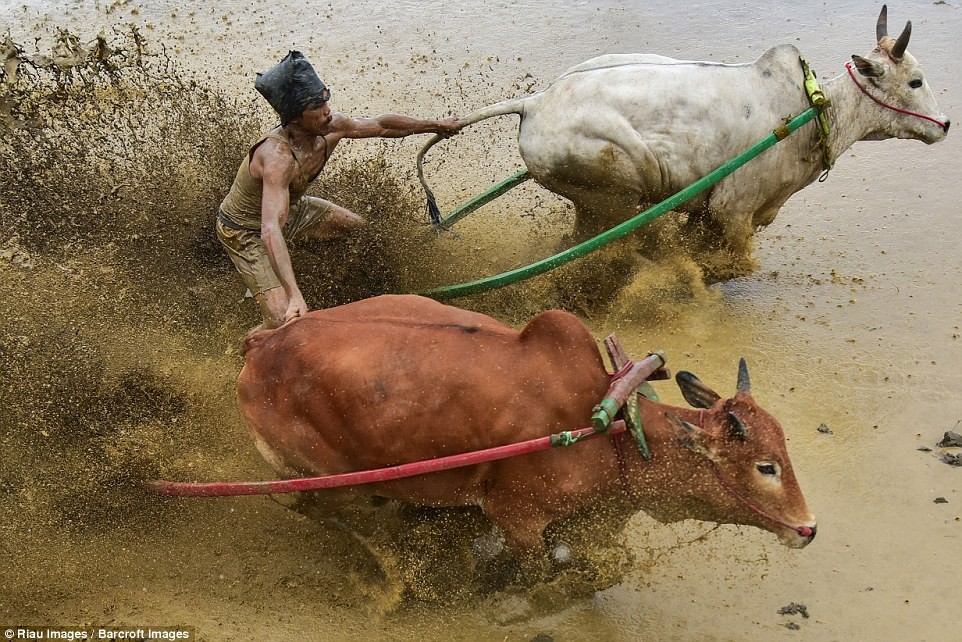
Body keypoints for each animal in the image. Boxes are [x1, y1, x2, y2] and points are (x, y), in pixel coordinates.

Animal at [236, 294, 812, 576]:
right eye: (766, 466)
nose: (808, 529)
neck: (613, 430)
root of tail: (263, 345)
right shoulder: (519, 520)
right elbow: (543, 578)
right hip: (326, 479)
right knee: (316, 509)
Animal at [418, 5, 944, 276]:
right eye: (915, 81)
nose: (945, 125)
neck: (812, 113)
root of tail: (535, 101)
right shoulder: (734, 210)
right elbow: (728, 264)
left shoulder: (711, 211)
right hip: (614, 194)